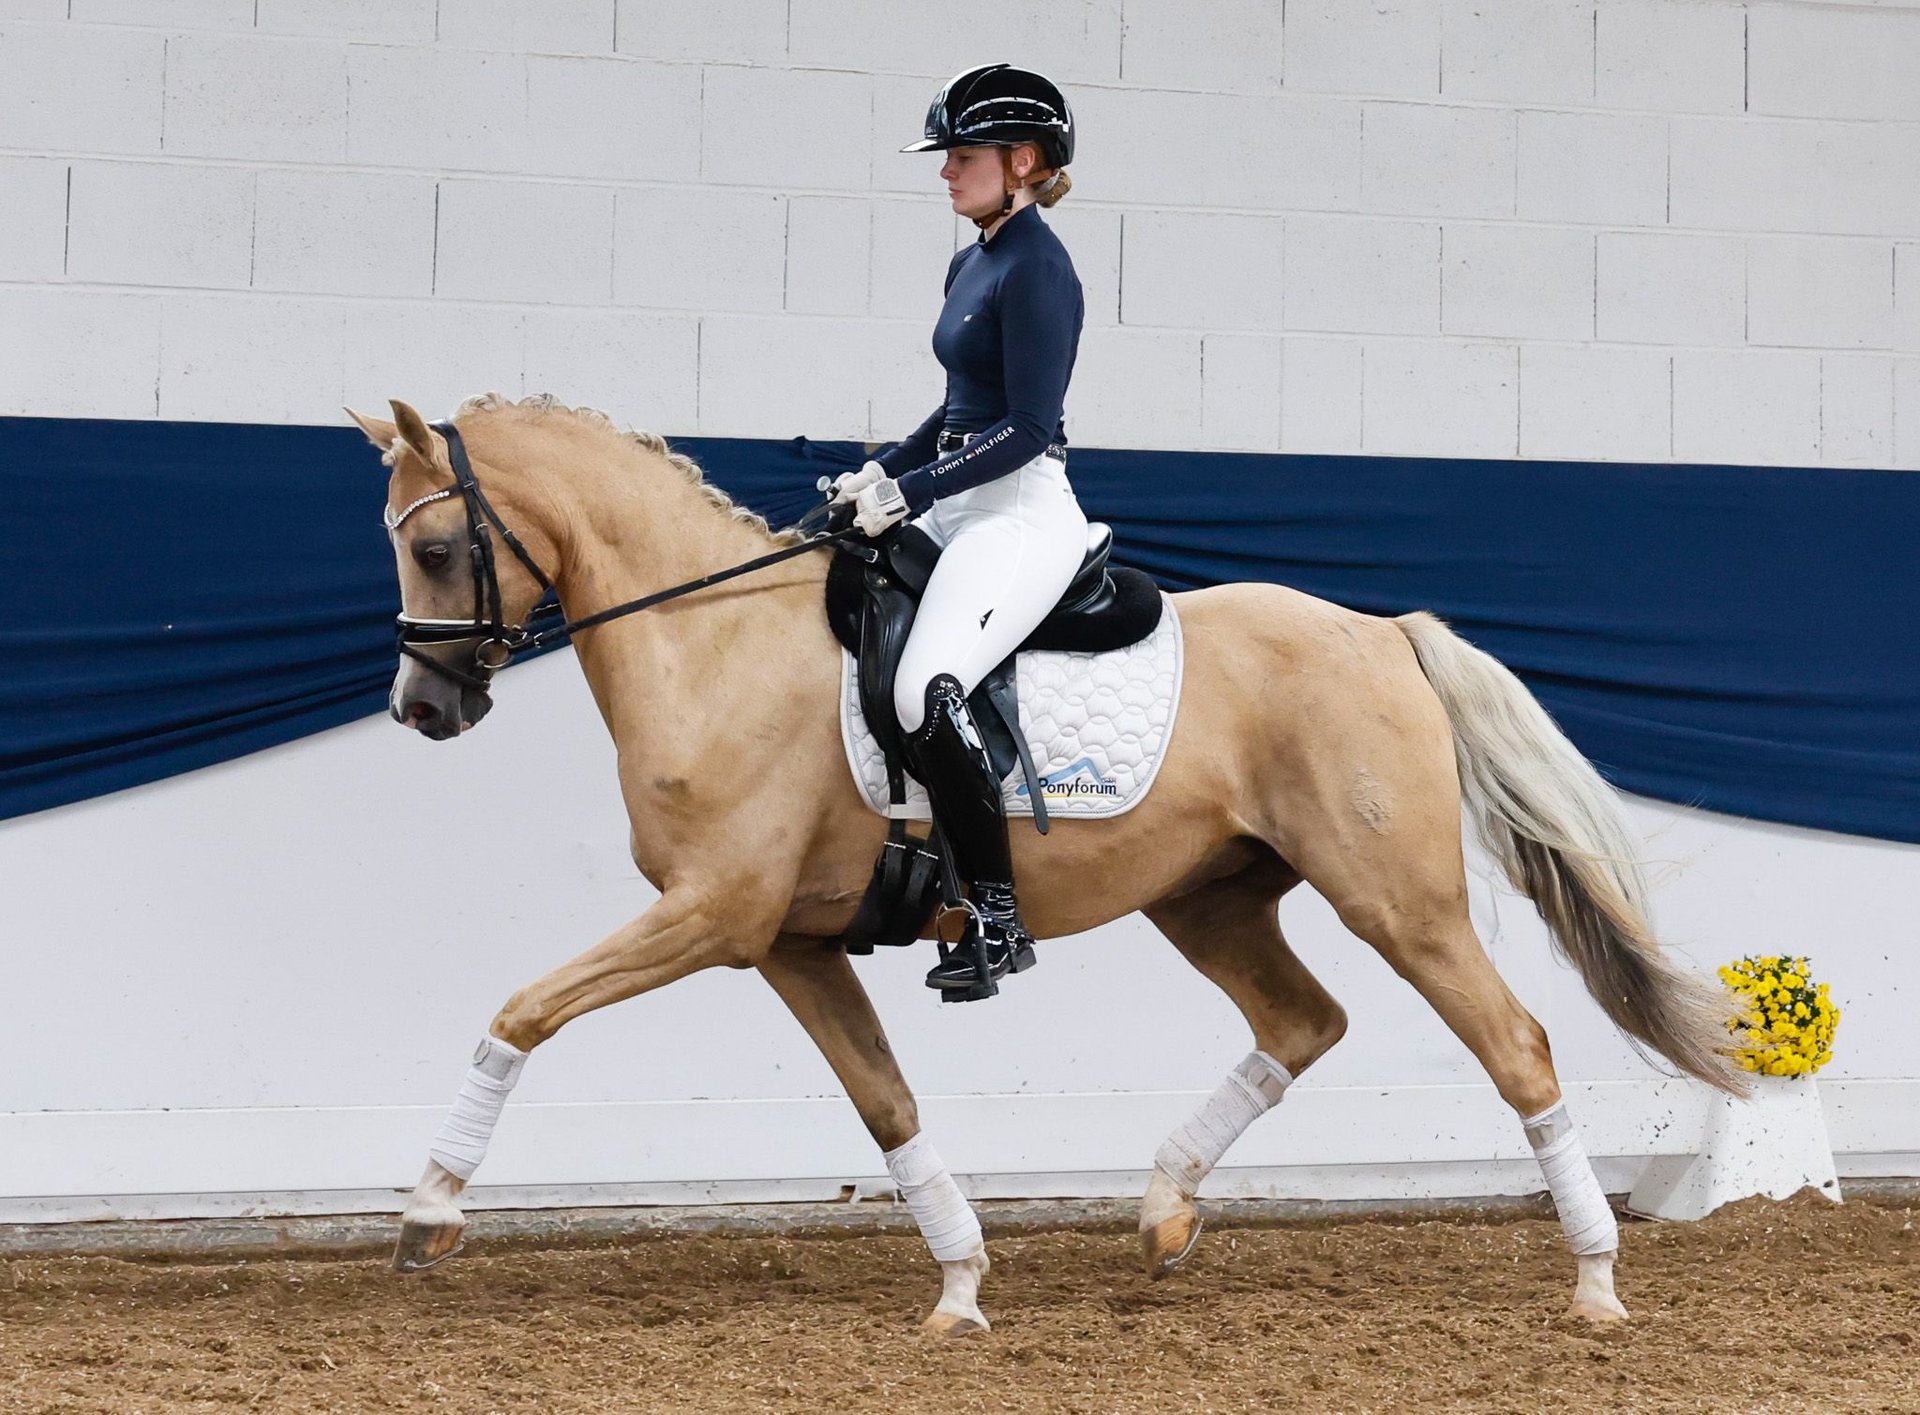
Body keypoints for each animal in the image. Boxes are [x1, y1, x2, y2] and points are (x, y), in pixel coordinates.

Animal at [349, 392, 1737, 1333]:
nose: (422, 706)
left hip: (1400, 898)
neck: (711, 639)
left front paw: (430, 1208)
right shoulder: (788, 942)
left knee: (1517, 1046)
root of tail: (1383, 632)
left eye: (437, 549)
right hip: (1208, 897)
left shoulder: (714, 915)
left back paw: (1596, 1281)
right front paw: (961, 1284)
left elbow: (523, 1009)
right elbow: (888, 1105)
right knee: (1303, 1019)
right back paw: (1165, 1209)